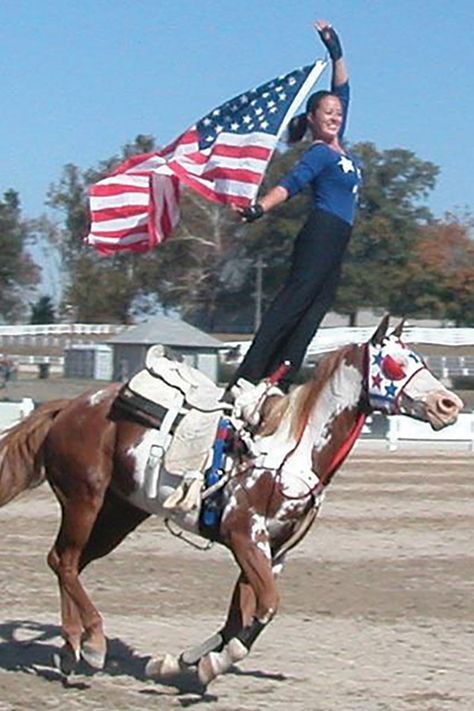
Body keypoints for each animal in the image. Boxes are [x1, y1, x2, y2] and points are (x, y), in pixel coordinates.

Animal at [0, 318, 462, 688]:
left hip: (119, 513)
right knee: (63, 560)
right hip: (84, 500)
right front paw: (210, 663)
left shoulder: (271, 550)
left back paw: (71, 650)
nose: (449, 404)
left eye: (420, 358)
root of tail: (69, 407)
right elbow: (265, 608)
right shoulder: (244, 536)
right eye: (396, 364)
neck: (291, 451)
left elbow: (240, 617)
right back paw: (92, 642)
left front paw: (180, 661)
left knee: (68, 563)